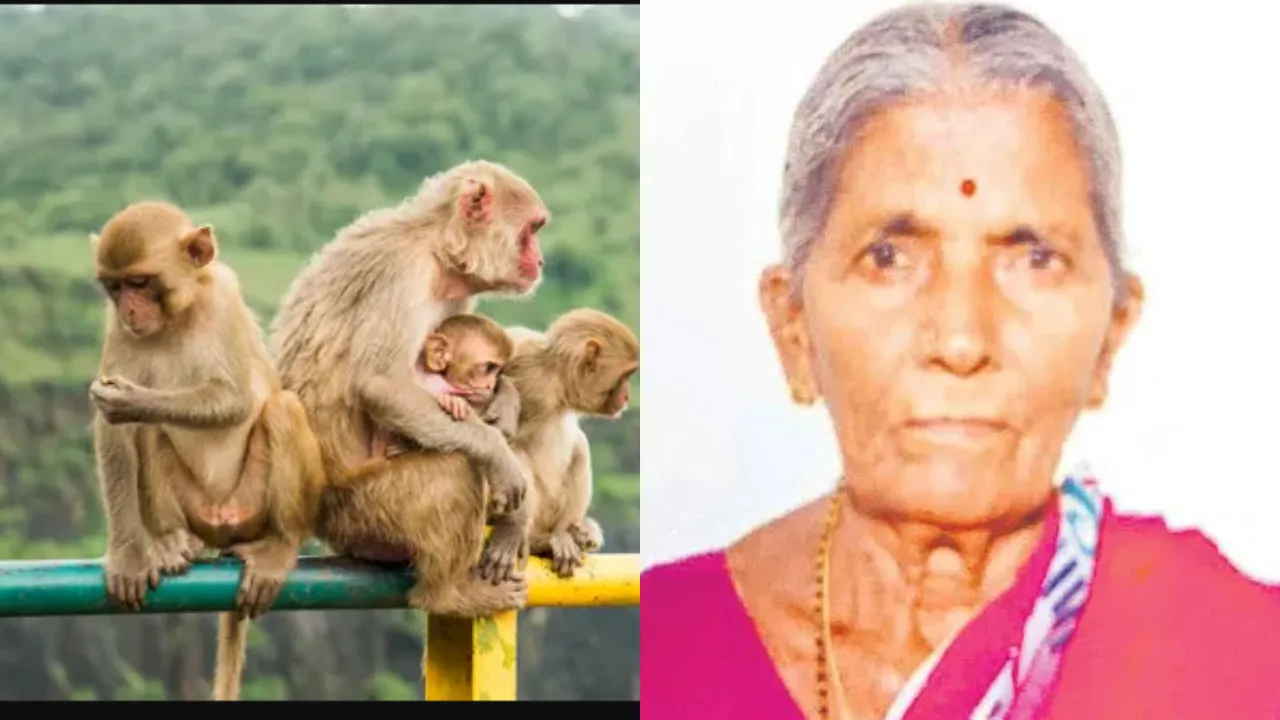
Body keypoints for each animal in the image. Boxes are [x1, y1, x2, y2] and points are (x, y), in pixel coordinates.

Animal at [88, 201, 327, 701]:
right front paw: (128, 556)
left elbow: (235, 399)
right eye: (115, 287)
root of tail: (224, 523)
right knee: (151, 435)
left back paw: (280, 547)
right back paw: (173, 542)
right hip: (196, 507)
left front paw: (131, 400)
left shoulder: (224, 297)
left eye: (141, 282)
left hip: (254, 503)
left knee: (281, 408)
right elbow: (115, 435)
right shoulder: (115, 325)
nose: (130, 308)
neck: (178, 315)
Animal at [478, 308, 639, 581]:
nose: (627, 396)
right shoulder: (525, 358)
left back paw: (570, 533)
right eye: (626, 375)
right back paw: (533, 539)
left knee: (579, 446)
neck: (556, 384)